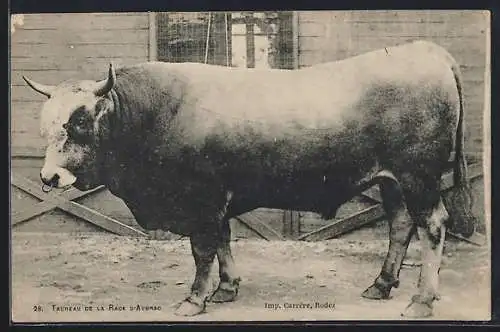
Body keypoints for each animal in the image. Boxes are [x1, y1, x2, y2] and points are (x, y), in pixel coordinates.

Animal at [23, 40, 476, 318]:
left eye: (80, 121)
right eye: (46, 123)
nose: (49, 176)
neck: (154, 112)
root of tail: (425, 50)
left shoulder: (201, 199)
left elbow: (203, 249)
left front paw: (194, 299)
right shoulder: (219, 200)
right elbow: (224, 241)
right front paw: (226, 289)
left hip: (418, 176)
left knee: (433, 225)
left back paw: (421, 300)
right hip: (392, 180)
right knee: (400, 225)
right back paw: (381, 285)